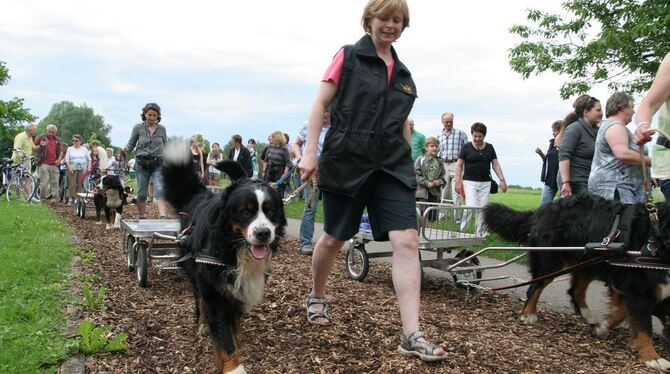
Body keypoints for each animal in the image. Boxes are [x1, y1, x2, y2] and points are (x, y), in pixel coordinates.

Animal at [163, 141, 288, 374]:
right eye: (245, 212)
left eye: (270, 211)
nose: (263, 233)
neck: (234, 250)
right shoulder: (215, 290)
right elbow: (224, 338)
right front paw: (233, 368)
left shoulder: (237, 291)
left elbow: (232, 329)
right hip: (195, 274)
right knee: (200, 300)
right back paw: (203, 323)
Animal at [486, 194, 670, 370]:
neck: (657, 235)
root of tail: (545, 208)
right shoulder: (639, 288)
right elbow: (644, 326)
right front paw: (652, 358)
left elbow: (621, 312)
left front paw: (602, 326)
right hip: (552, 261)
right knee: (535, 287)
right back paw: (528, 314)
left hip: (586, 263)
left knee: (575, 291)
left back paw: (588, 316)